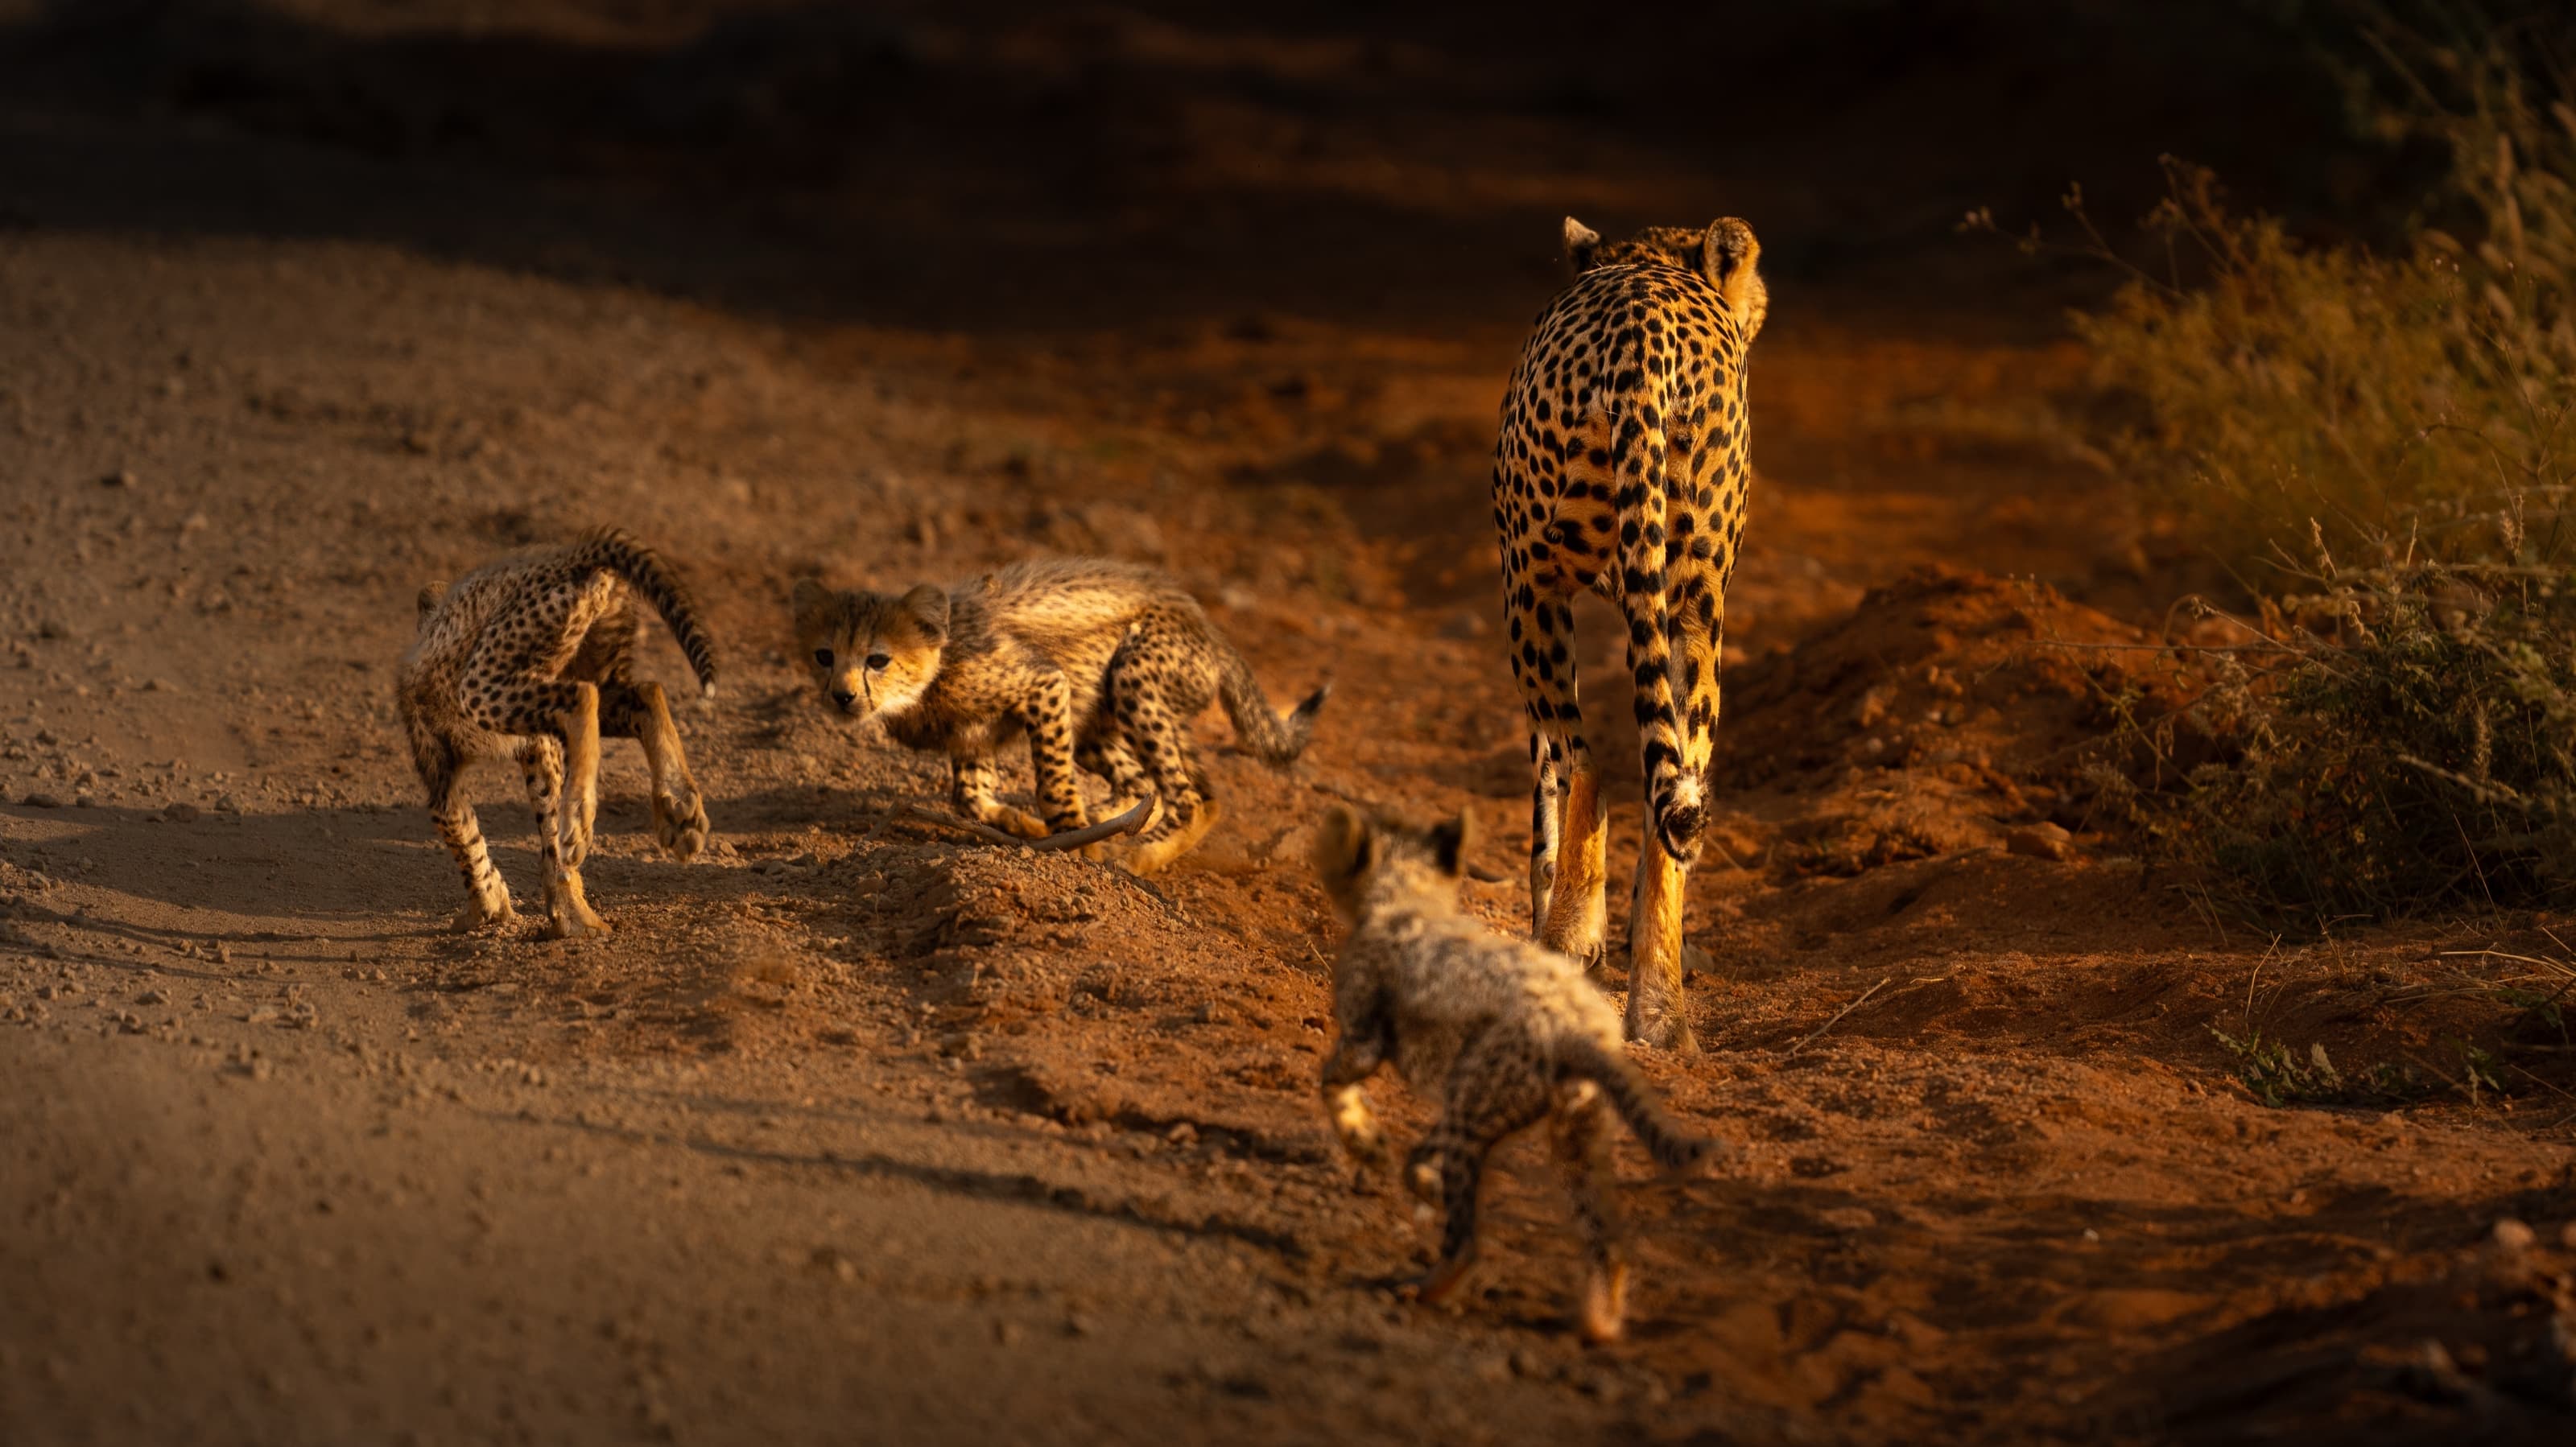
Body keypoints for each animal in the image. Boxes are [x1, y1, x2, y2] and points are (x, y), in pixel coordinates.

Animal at [396, 527, 718, 940]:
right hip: (583, 671)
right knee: (645, 693)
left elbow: (461, 835)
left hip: (485, 684)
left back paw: (581, 817)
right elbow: (537, 821)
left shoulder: (441, 770)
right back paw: (680, 810)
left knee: (583, 699)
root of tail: (571, 554)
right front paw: (568, 908)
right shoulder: (536, 742)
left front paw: (486, 908)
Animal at [790, 557, 1328, 876]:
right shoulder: (970, 735)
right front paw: (1026, 828)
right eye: (824, 656)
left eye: (878, 660)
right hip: (1096, 722)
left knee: (1189, 798)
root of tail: (1207, 625)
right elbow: (969, 797)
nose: (842, 697)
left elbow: (1050, 783)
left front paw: (1074, 844)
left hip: (1133, 678)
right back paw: (1114, 825)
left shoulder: (1044, 684)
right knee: (1156, 787)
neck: (934, 669)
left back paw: (1135, 853)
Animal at [1310, 804, 1719, 1343]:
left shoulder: (1364, 1041)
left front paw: (1367, 1144)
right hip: (1566, 1136)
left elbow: (1333, 1084)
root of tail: (1578, 1029)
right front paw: (1420, 1179)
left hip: (1483, 1113)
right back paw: (1597, 1326)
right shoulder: (1461, 1093)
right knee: (1607, 1242)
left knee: (1466, 1244)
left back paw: (1421, 1289)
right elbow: (1417, 1156)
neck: (1409, 900)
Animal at [1489, 214, 1769, 1054]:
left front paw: (1557, 922)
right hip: (1694, 615)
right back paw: (1662, 1011)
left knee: (1587, 761)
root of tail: (1646, 338)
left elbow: (1549, 788)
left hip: (1532, 586)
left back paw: (1568, 939)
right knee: (1672, 796)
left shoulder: (1529, 582)